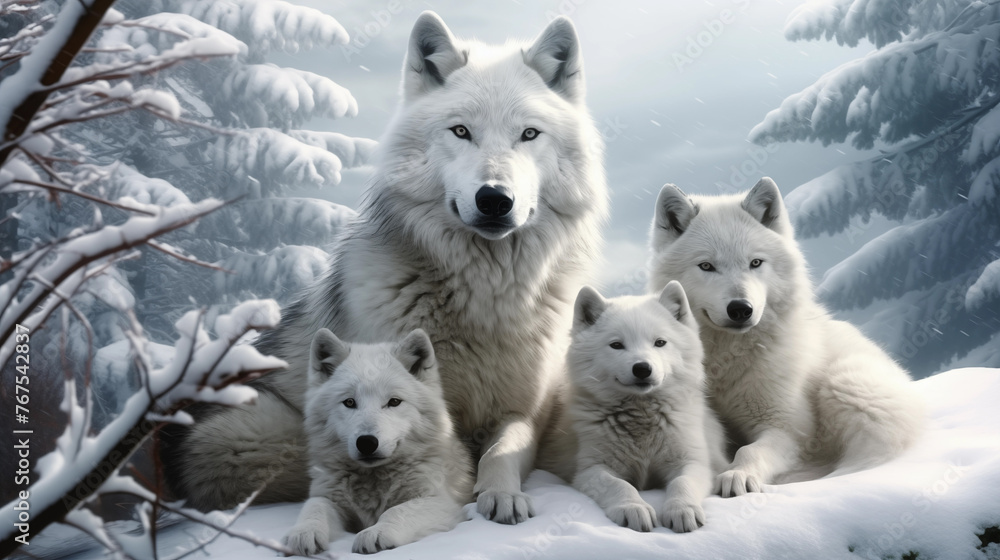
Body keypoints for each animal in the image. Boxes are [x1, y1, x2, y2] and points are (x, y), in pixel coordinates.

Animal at [161, 11, 607, 523]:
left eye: (529, 134)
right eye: (461, 131)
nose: (494, 199)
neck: (486, 295)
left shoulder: (525, 409)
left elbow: (503, 449)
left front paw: (501, 494)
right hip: (251, 431)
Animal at [282, 328, 473, 555]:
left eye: (394, 402)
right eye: (349, 402)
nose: (366, 442)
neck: (373, 480)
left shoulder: (441, 502)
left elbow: (396, 511)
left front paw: (376, 532)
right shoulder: (327, 497)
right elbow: (314, 507)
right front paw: (303, 532)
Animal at [566, 283, 726, 533]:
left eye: (660, 342)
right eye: (616, 345)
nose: (642, 368)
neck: (641, 415)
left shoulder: (692, 462)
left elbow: (682, 482)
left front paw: (682, 509)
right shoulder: (590, 469)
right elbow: (620, 485)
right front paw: (633, 508)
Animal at [647, 177, 925, 497]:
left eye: (755, 263)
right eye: (706, 266)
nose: (741, 309)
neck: (725, 361)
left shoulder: (786, 428)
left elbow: (749, 451)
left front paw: (738, 475)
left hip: (845, 381)